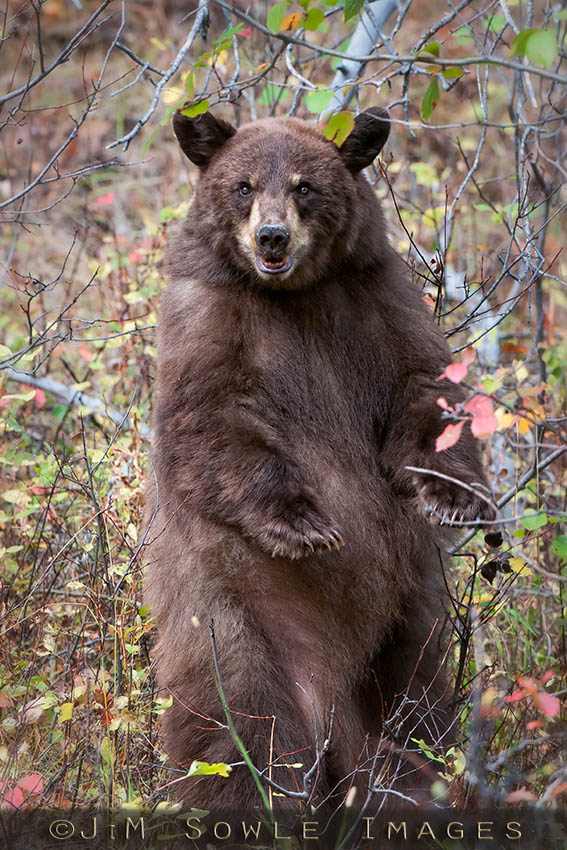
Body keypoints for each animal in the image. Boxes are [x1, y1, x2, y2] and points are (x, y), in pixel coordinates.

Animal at [144, 107, 494, 816]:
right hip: (233, 631)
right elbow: (209, 426)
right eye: (244, 186)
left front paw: (454, 495)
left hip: (404, 626)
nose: (272, 238)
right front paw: (304, 523)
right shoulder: (205, 324)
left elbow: (427, 387)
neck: (292, 296)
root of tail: (327, 707)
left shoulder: (375, 305)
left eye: (305, 186)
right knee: (239, 739)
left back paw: (419, 785)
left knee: (417, 705)